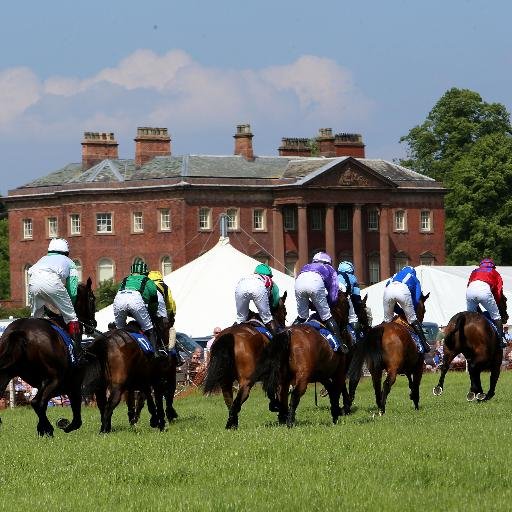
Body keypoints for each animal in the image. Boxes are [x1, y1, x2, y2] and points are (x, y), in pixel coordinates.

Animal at [0, 278, 96, 438]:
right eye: (92, 299)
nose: (93, 324)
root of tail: (19, 331)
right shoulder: (74, 385)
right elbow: (76, 415)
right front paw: (65, 425)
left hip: (6, 375)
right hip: (53, 379)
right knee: (36, 402)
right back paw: (49, 429)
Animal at [202, 290, 286, 430]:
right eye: (285, 311)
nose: (283, 325)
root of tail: (229, 336)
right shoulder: (274, 374)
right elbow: (274, 391)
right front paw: (278, 409)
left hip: (225, 381)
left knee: (230, 402)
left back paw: (232, 425)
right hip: (246, 382)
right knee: (238, 401)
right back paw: (231, 425)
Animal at [253, 292, 350, 428]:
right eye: (348, 305)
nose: (346, 327)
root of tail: (288, 334)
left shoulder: (322, 376)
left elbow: (331, 390)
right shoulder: (339, 373)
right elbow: (336, 391)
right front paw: (337, 413)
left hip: (283, 378)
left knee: (282, 395)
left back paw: (283, 416)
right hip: (302, 377)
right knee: (295, 395)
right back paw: (289, 421)